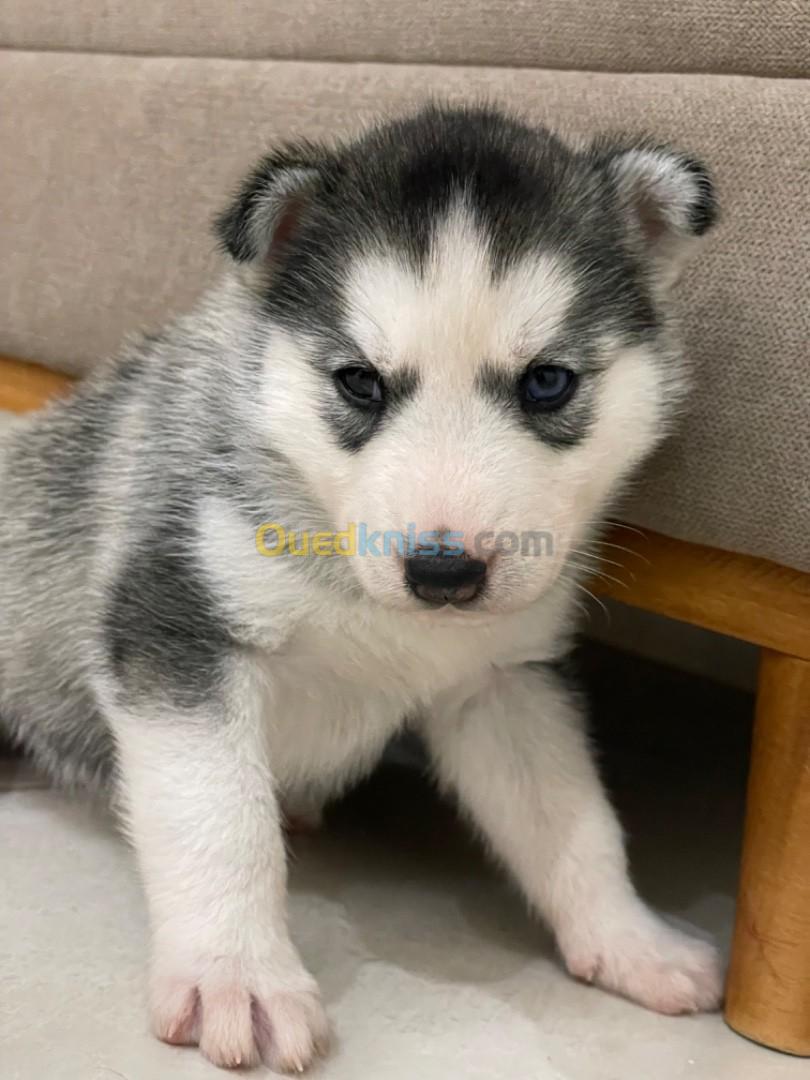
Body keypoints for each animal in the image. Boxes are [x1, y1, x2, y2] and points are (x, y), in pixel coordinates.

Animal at [0, 107, 721, 1071]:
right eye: (360, 382)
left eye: (547, 382)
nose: (445, 572)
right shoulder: (175, 629)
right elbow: (221, 823)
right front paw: (238, 977)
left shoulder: (508, 683)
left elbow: (575, 821)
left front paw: (629, 940)